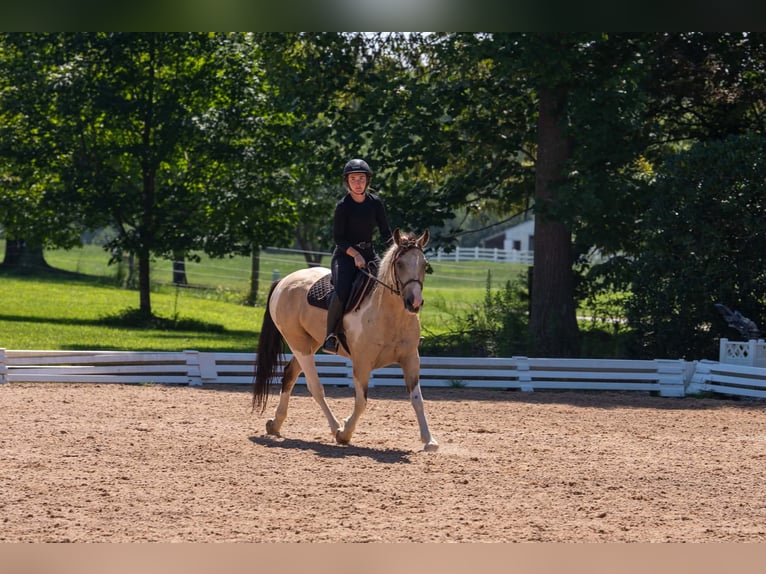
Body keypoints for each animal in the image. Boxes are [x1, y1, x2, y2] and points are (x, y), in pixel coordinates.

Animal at [252, 228, 438, 451]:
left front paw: (429, 440)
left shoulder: (411, 359)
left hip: (309, 344)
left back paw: (275, 424)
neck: (388, 313)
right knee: (315, 387)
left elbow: (417, 399)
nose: (414, 302)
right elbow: (361, 402)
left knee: (290, 375)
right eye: (400, 264)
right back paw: (335, 428)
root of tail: (284, 281)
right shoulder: (362, 363)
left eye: (424, 265)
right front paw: (345, 433)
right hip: (298, 344)